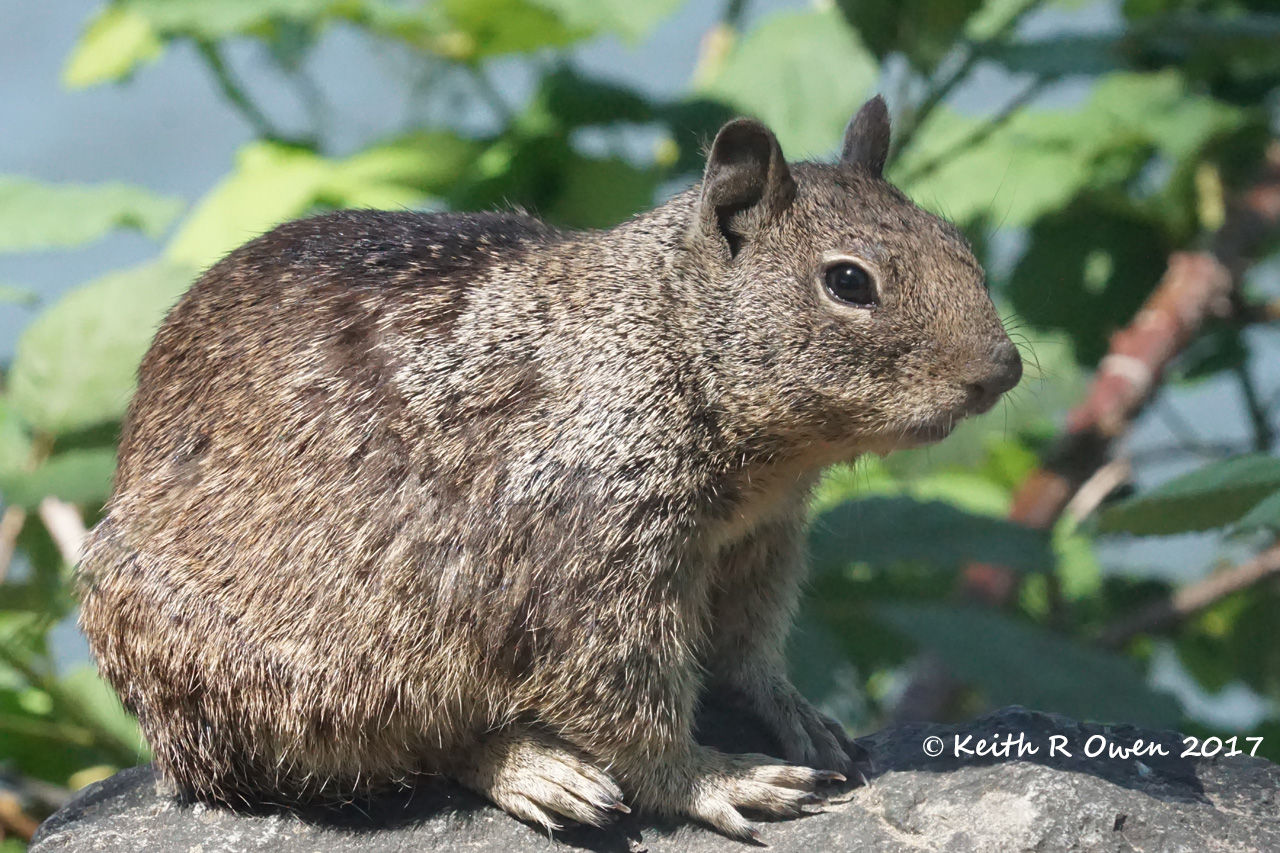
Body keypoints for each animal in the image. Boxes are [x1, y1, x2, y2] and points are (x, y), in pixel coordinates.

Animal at [77, 96, 1021, 842]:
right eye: (849, 282)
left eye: (957, 240)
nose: (1004, 370)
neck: (662, 338)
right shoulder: (592, 571)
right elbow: (628, 712)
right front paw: (718, 779)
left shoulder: (759, 551)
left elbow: (750, 654)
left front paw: (797, 715)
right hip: (306, 689)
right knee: (398, 755)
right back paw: (536, 769)